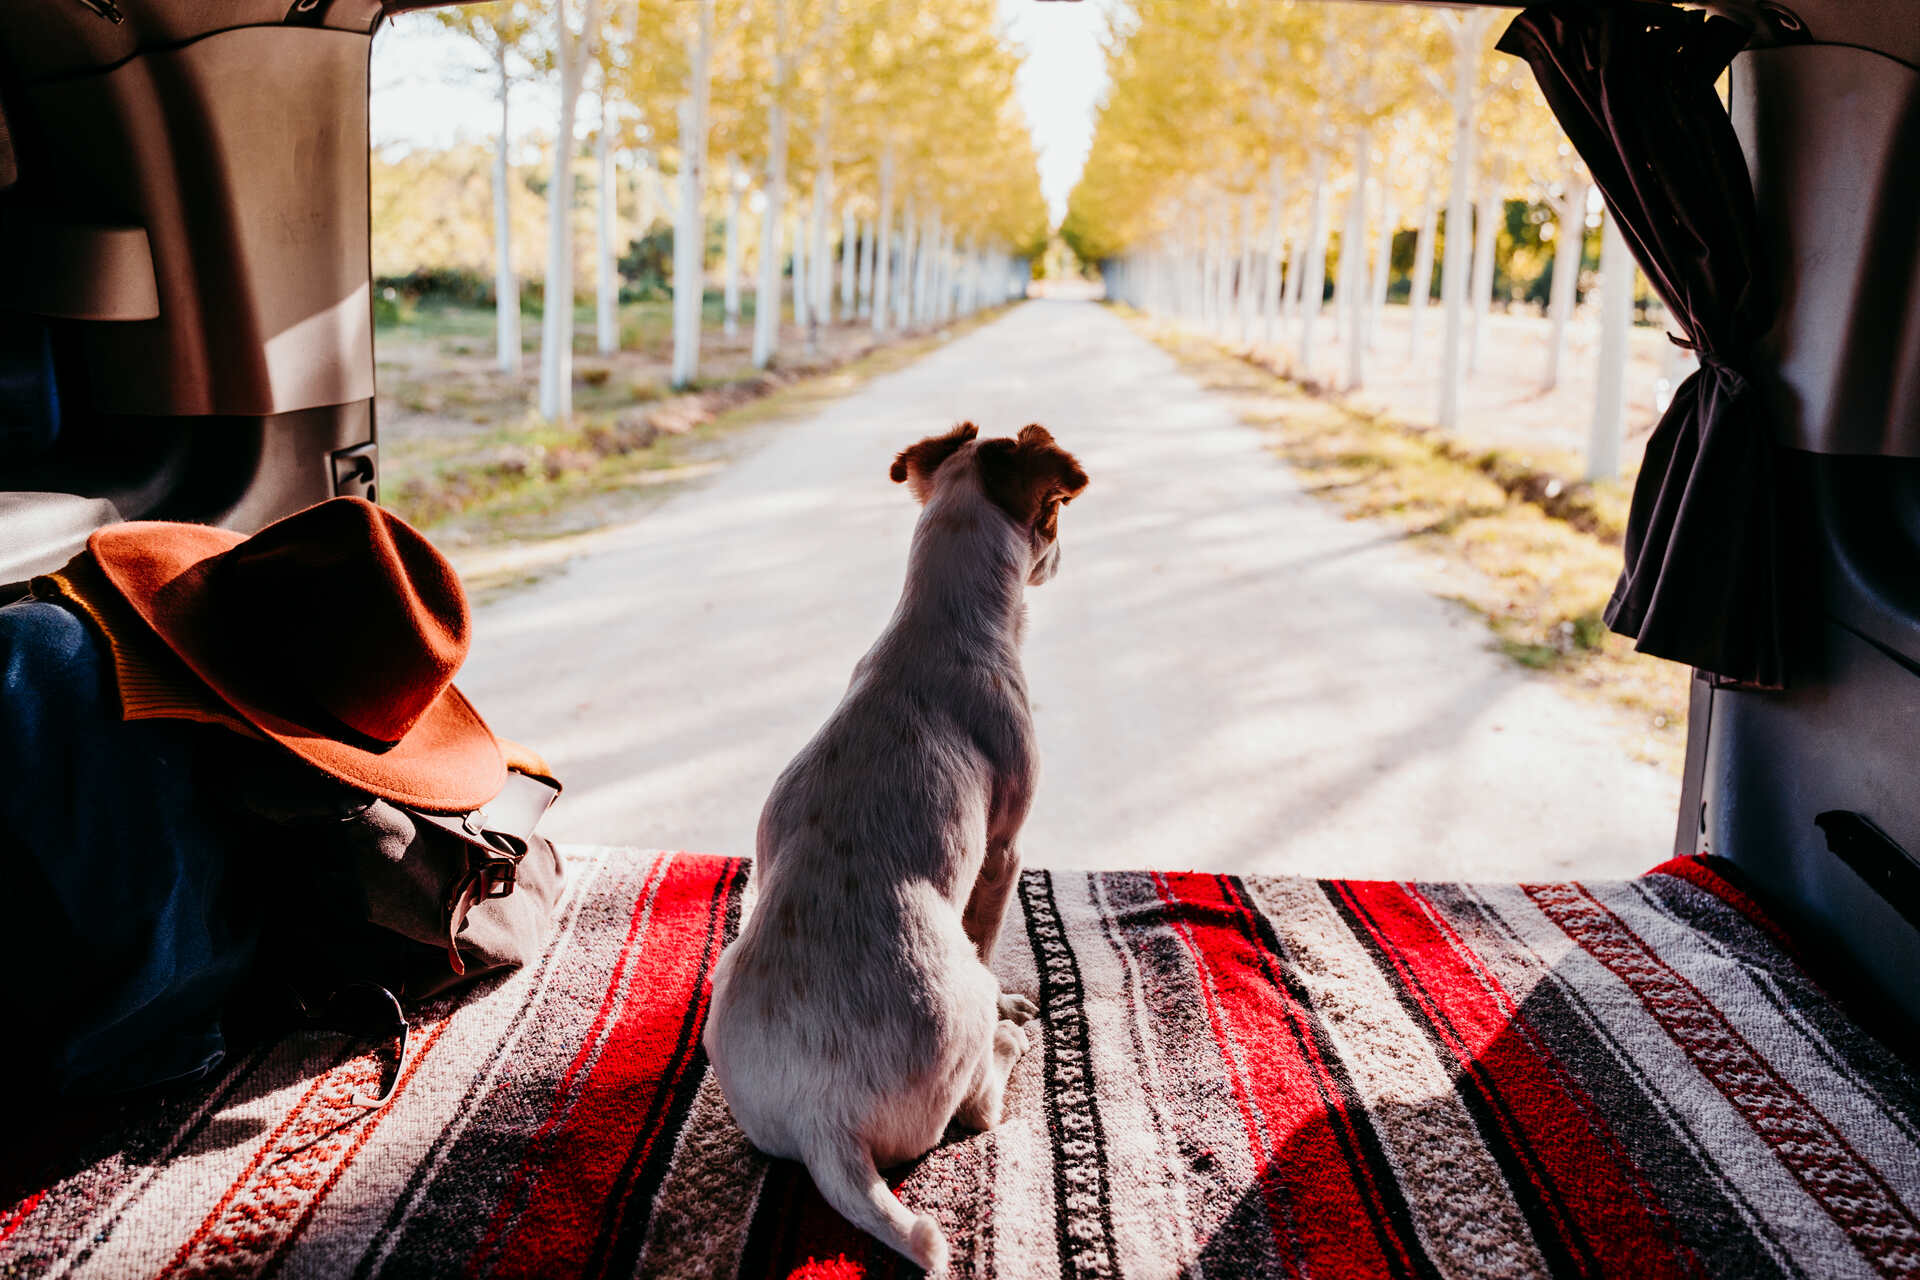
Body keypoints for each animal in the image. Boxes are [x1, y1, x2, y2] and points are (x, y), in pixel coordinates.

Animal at [706, 422, 1098, 1274]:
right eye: (1057, 513)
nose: (1064, 558)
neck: (940, 622)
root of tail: (824, 1119)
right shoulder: (1005, 849)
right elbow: (991, 931)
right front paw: (1016, 999)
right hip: (964, 1011)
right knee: (979, 1104)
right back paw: (1010, 1034)